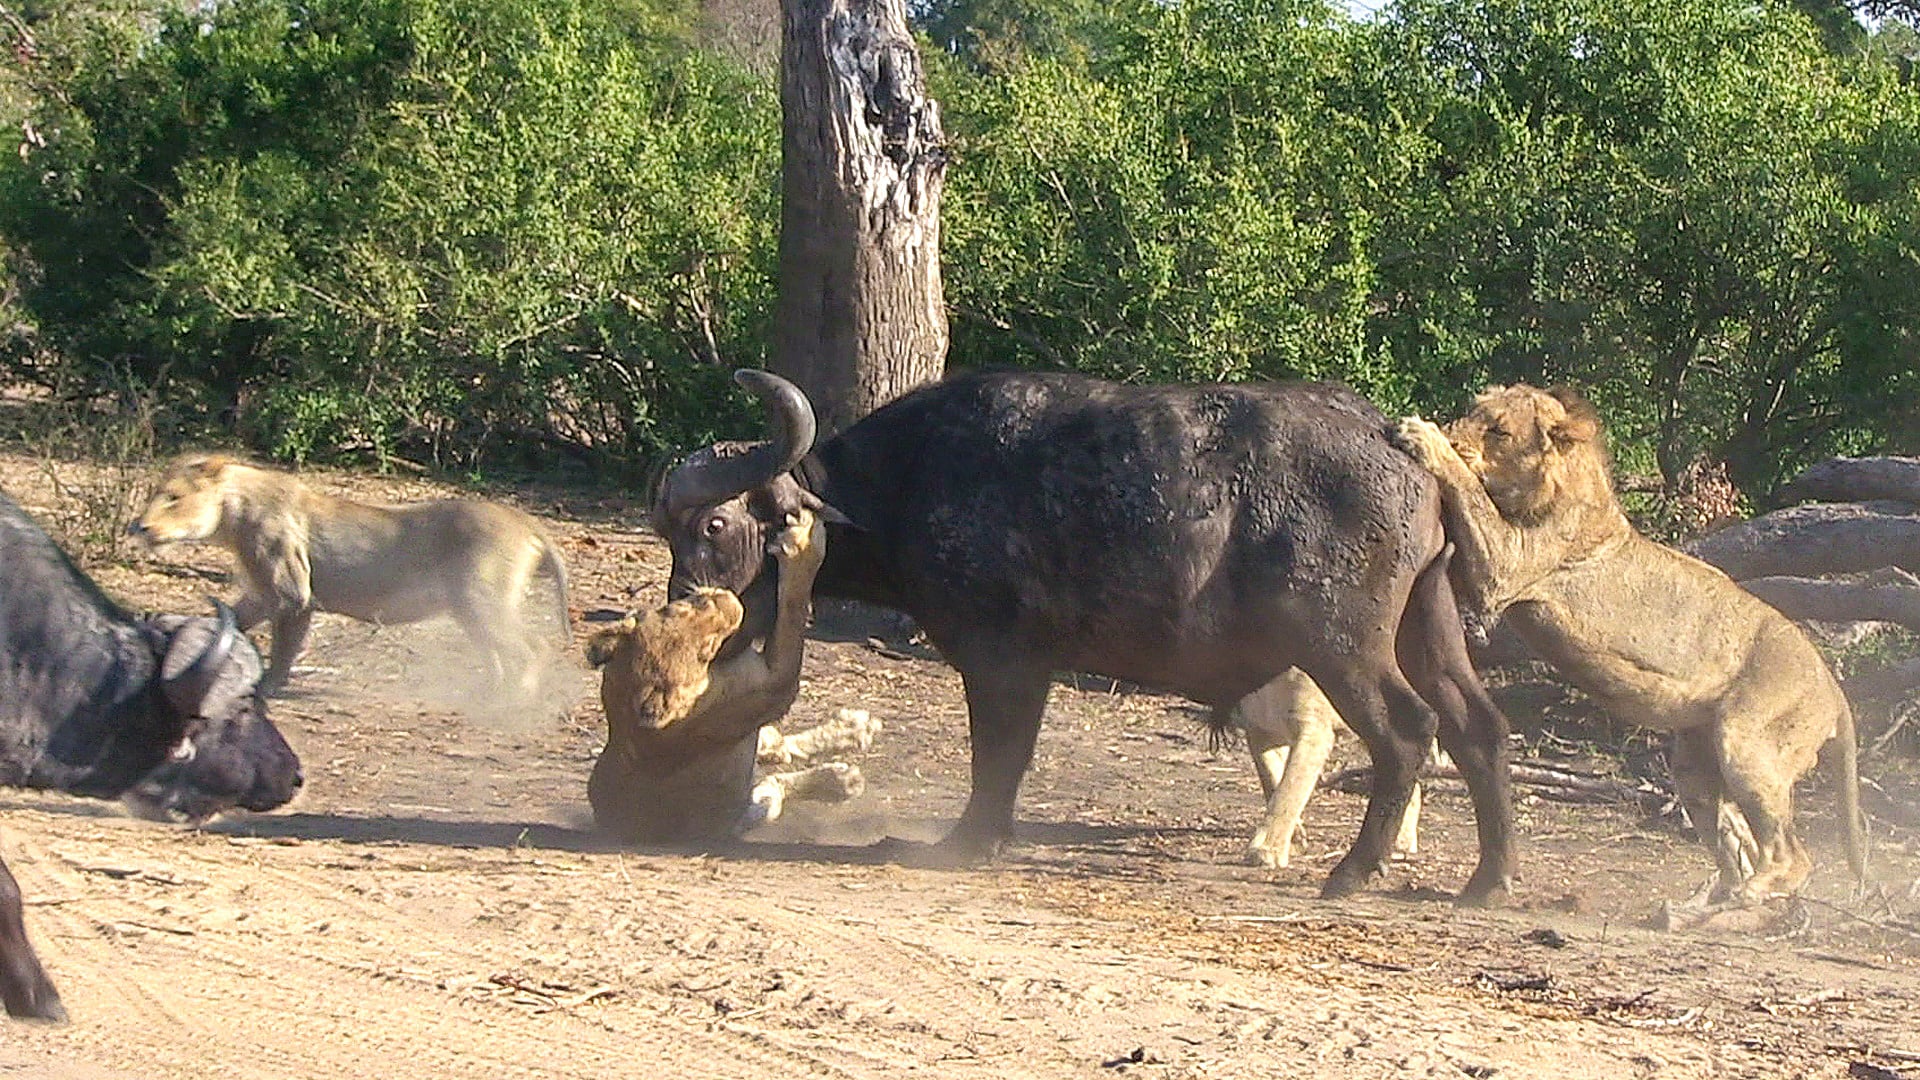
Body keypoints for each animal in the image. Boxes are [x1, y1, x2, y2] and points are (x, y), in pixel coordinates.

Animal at [654, 369, 1516, 905]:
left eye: (714, 524)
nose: (684, 609)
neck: (909, 480)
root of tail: (1394, 443)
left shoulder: (1002, 659)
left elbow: (998, 754)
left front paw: (969, 842)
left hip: (1343, 643)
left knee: (1408, 732)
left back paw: (1352, 871)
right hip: (1427, 625)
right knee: (1478, 726)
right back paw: (1488, 880)